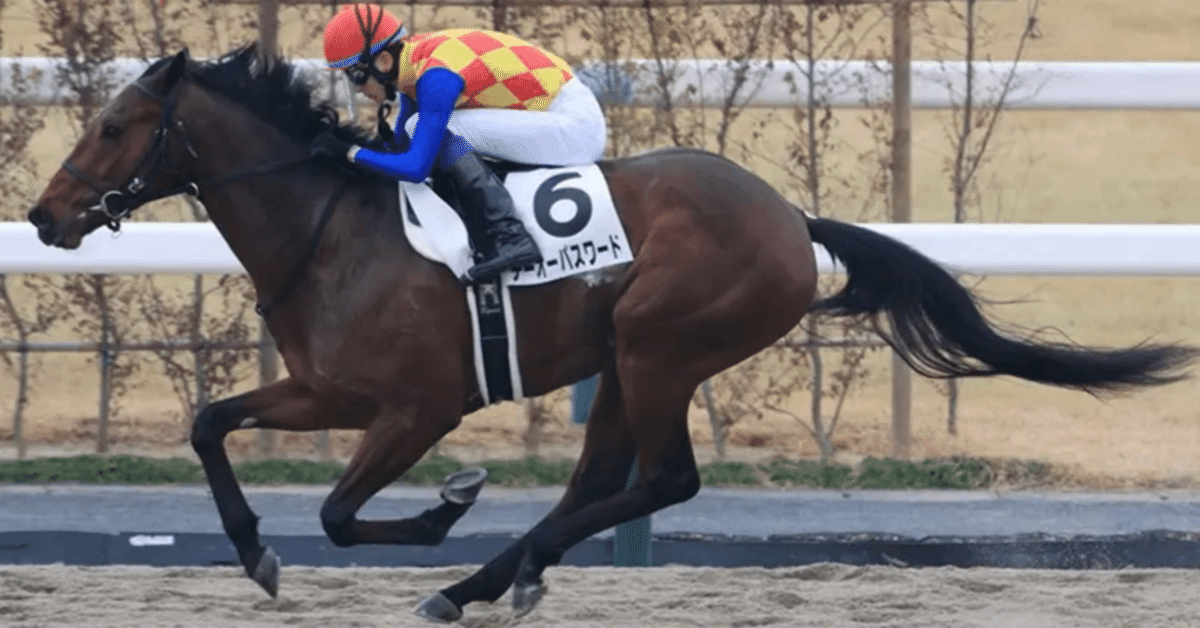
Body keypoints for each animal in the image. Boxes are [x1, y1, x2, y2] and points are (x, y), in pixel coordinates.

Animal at [27, 46, 1198, 622]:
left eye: (115, 127)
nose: (43, 216)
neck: (331, 228)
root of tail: (791, 217)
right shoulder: (323, 391)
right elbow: (209, 424)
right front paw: (258, 554)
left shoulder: (415, 405)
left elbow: (342, 513)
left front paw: (447, 508)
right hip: (630, 358)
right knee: (602, 481)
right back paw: (495, 580)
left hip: (660, 344)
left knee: (663, 480)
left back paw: (477, 577)